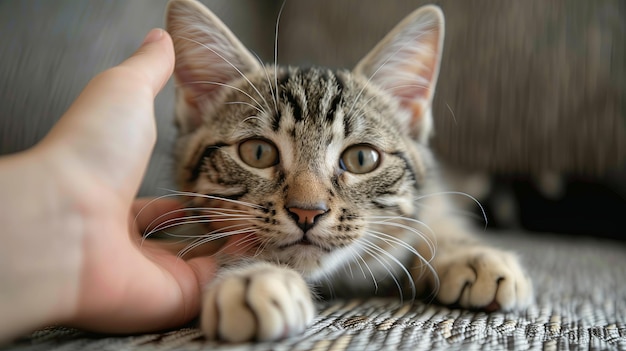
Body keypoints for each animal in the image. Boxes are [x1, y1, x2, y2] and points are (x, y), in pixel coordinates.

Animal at [166, 0, 532, 342]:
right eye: (258, 152)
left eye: (361, 159)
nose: (307, 212)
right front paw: (254, 276)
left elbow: (433, 215)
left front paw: (471, 254)